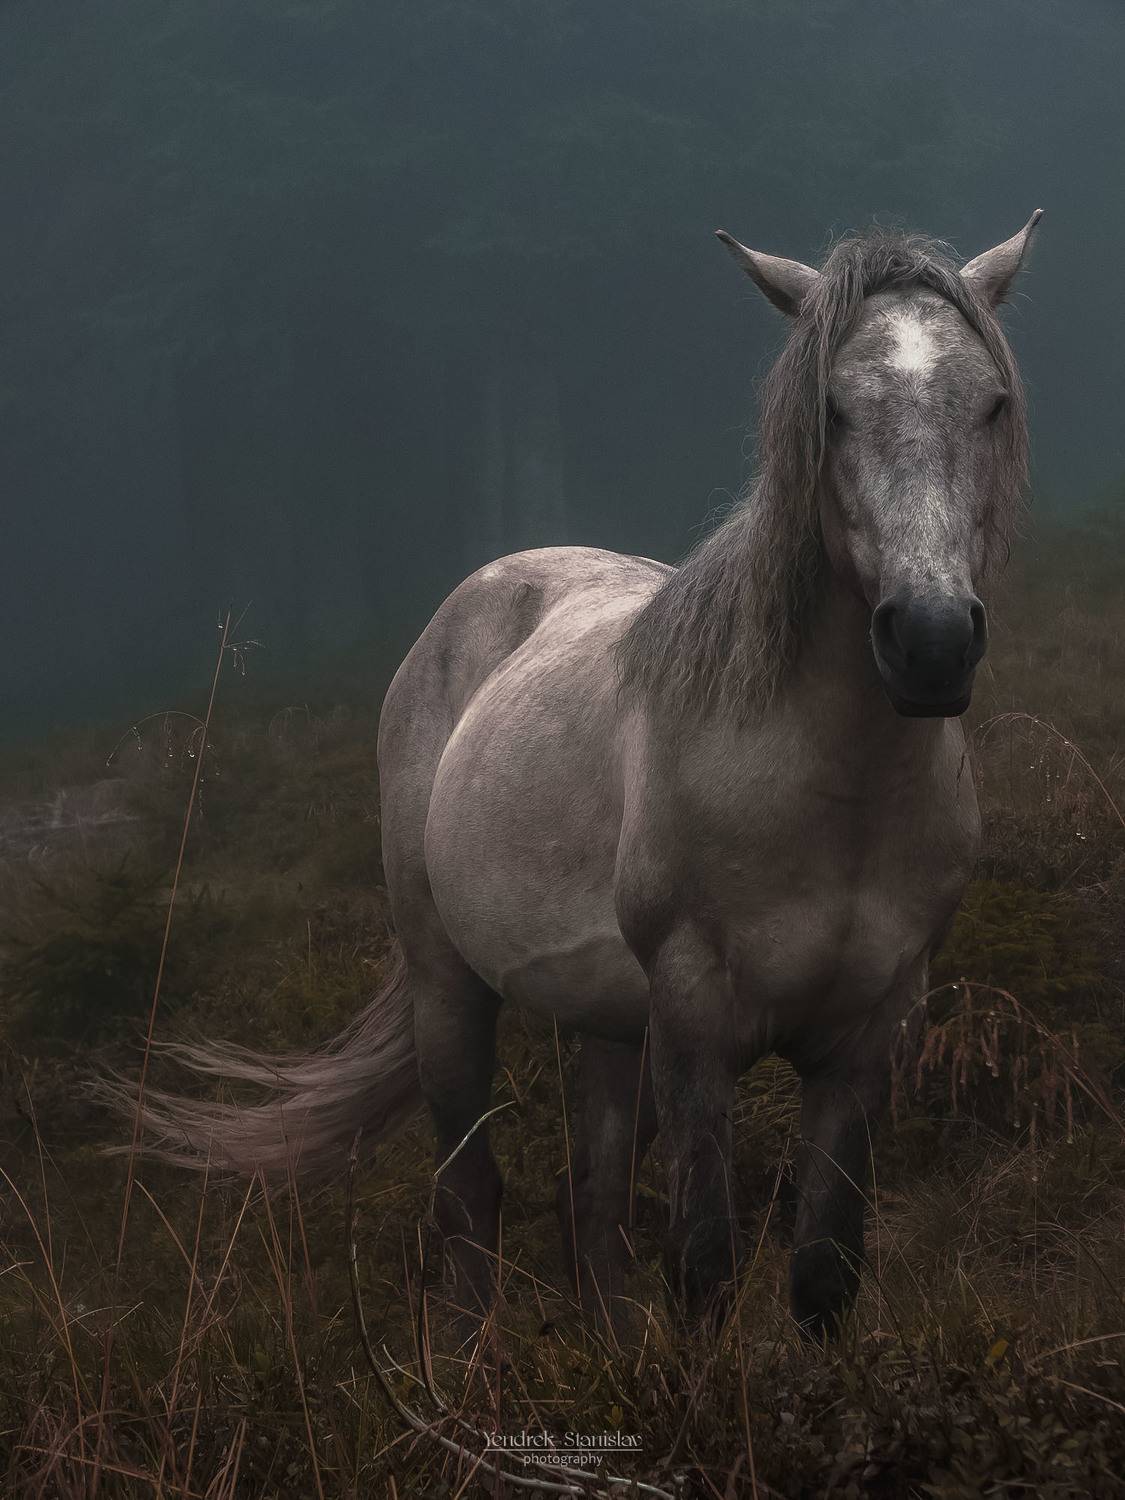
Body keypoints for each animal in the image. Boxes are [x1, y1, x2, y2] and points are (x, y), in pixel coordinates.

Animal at [120, 212, 1040, 1341]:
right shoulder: (694, 1026)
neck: (833, 799)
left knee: (589, 1207)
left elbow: (823, 1273)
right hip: (450, 989)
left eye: (990, 403)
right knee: (470, 1195)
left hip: (608, 1031)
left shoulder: (870, 1035)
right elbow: (704, 1265)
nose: (931, 641)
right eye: (832, 407)